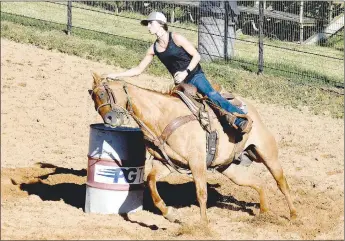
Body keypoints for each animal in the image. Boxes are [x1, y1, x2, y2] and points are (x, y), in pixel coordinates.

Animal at [88, 72, 296, 224]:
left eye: (103, 94)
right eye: (93, 97)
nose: (109, 119)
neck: (163, 116)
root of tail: (250, 110)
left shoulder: (197, 163)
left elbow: (201, 193)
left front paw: (203, 225)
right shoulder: (164, 163)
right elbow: (151, 181)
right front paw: (169, 213)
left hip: (268, 154)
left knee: (282, 183)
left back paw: (293, 215)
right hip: (230, 168)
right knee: (258, 183)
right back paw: (265, 213)